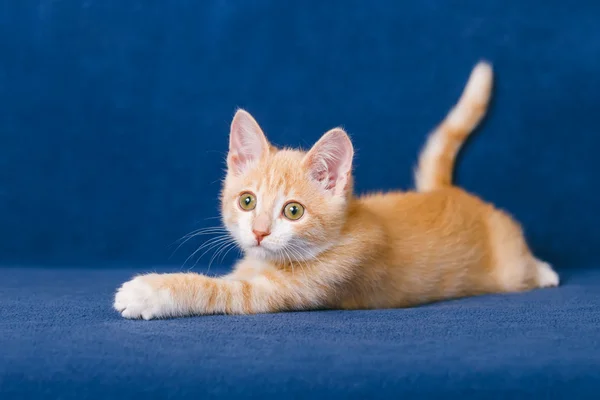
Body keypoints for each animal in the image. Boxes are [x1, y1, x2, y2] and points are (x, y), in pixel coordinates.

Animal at [116, 61, 556, 318]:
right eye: (247, 201)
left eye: (293, 210)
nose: (258, 232)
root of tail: (446, 192)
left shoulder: (294, 290)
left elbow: (215, 291)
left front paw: (147, 291)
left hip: (508, 261)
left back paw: (545, 271)